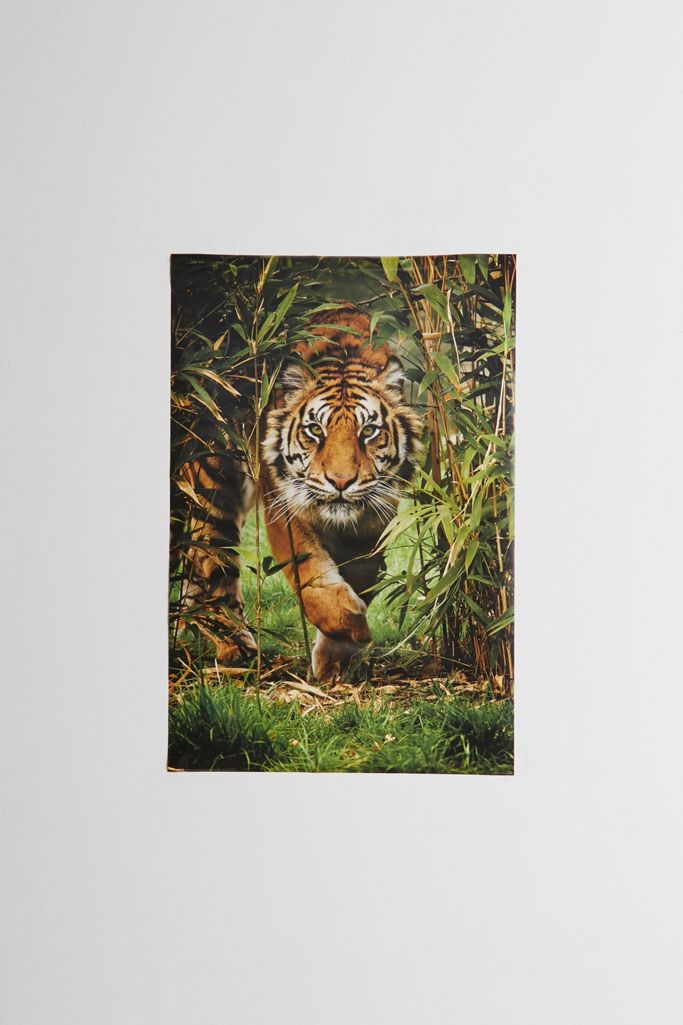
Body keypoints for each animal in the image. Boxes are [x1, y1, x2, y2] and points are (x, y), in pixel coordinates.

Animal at [176, 307, 423, 682]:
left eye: (368, 431)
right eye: (315, 430)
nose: (340, 481)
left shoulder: (375, 518)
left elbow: (362, 575)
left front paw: (338, 660)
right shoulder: (285, 506)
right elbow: (311, 577)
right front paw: (355, 629)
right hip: (215, 486)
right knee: (213, 566)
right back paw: (237, 649)